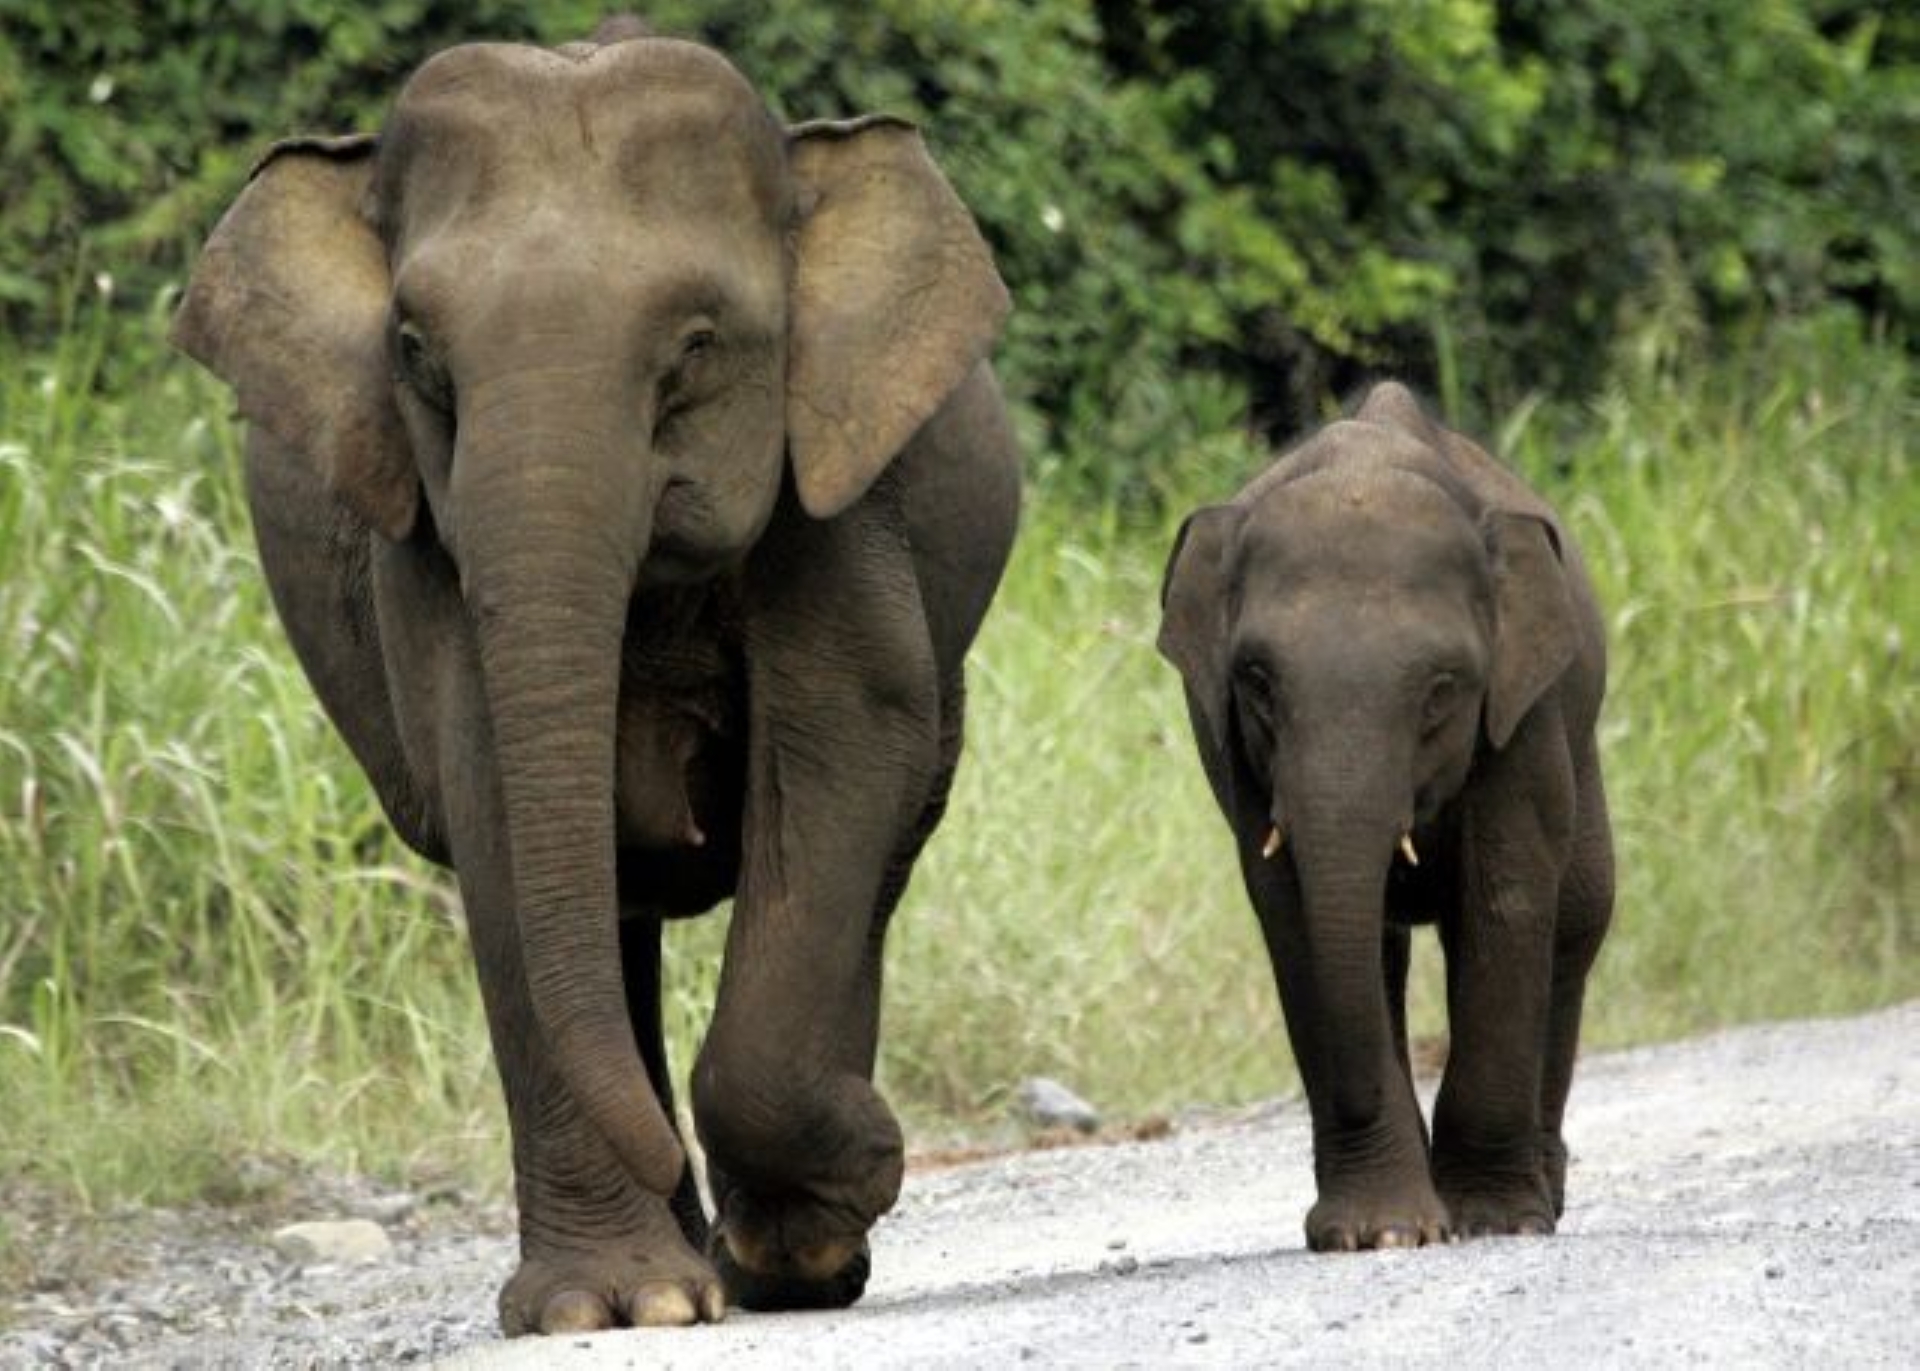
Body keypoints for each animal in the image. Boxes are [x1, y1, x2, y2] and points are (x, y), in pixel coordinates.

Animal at [171, 19, 1019, 1334]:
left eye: (698, 349)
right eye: (416, 356)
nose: (885, 1149)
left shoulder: (842, 496)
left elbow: (841, 747)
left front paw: (822, 1209)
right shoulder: (424, 542)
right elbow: (491, 797)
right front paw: (613, 1307)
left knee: (882, 836)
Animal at [1157, 381, 1613, 1251]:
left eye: (1441, 688)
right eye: (1257, 680)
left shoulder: (1523, 713)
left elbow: (1506, 900)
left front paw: (1491, 1222)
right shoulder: (1232, 750)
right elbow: (1296, 914)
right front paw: (1382, 1232)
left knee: (1575, 924)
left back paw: (1545, 1195)